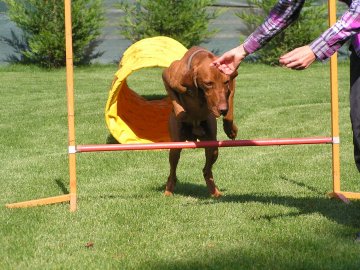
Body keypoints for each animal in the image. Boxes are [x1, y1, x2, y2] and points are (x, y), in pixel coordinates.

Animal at [162, 46, 238, 197]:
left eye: (225, 82)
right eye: (208, 83)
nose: (222, 109)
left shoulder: (232, 82)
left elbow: (230, 103)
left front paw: (230, 129)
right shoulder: (167, 76)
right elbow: (174, 98)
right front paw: (181, 113)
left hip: (212, 146)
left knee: (206, 170)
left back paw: (214, 192)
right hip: (175, 147)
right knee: (172, 172)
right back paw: (169, 189)